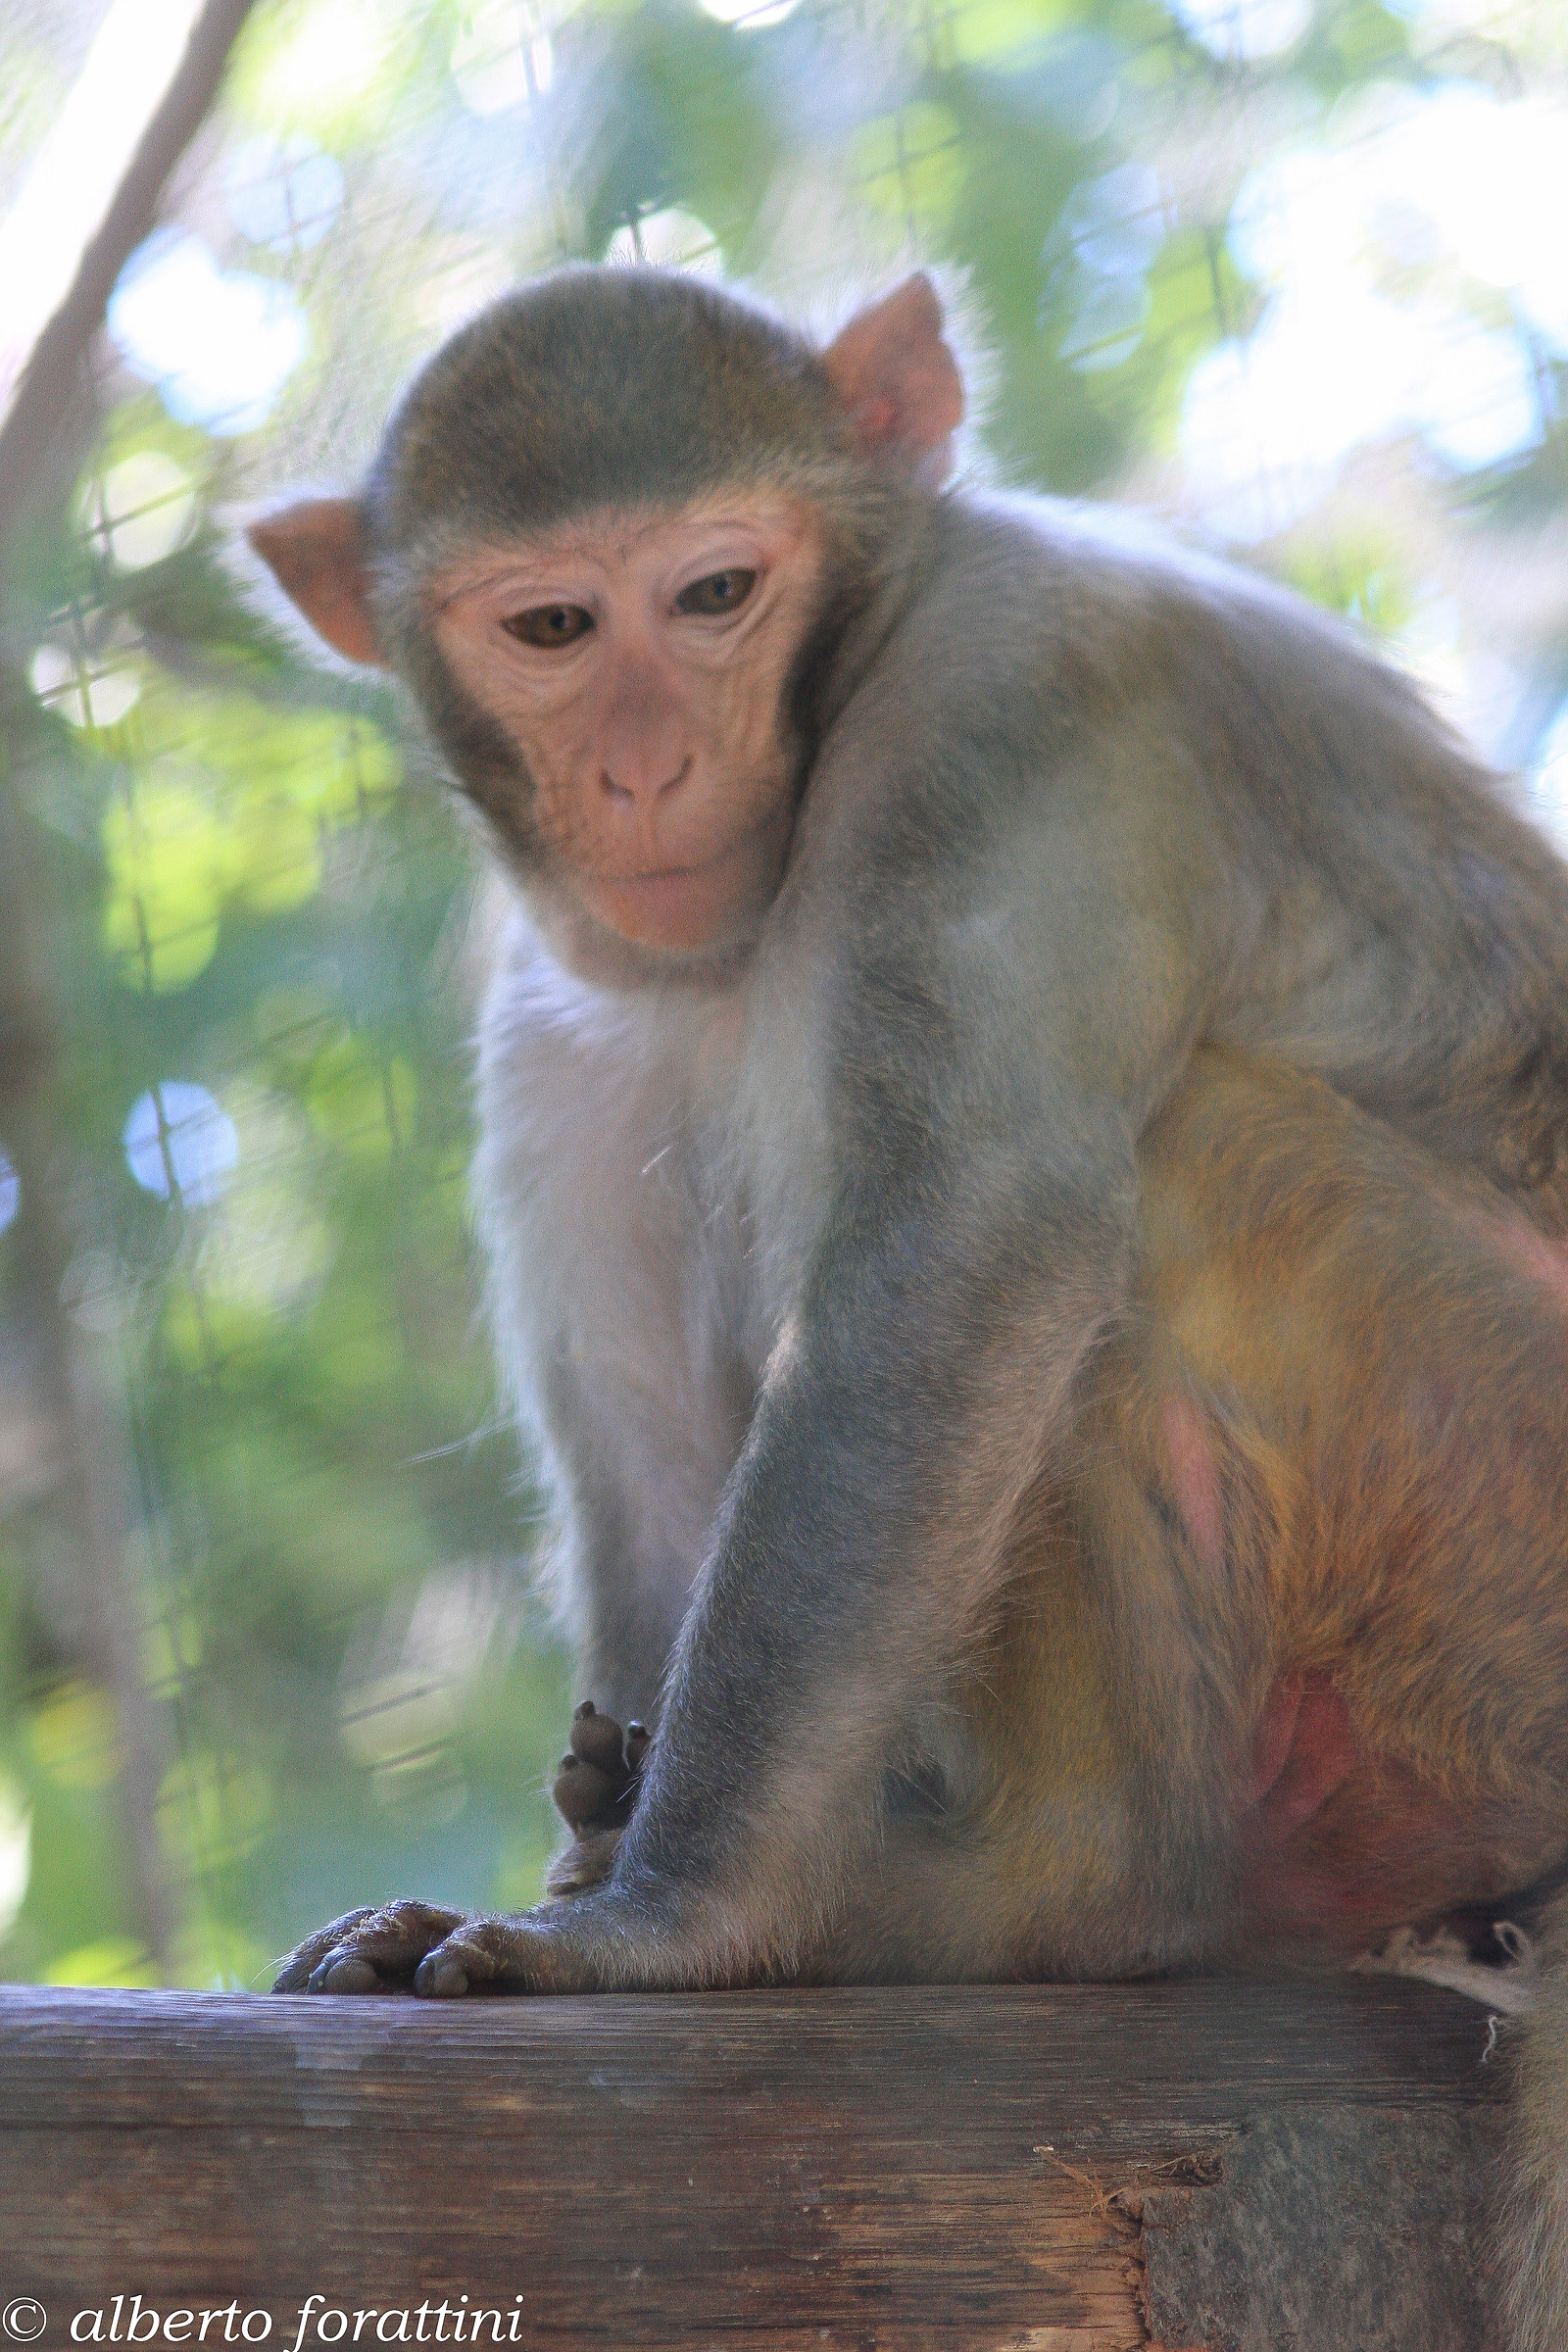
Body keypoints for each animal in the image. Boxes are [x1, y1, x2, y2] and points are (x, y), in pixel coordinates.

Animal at [250, 266, 1568, 2345]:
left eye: (718, 592)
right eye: (552, 629)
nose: (644, 769)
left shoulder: (1008, 708)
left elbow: (964, 1249)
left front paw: (666, 1922)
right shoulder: (560, 1022)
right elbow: (644, 1469)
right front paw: (597, 1827)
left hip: (1493, 1519)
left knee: (1164, 1174)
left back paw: (1050, 1885)